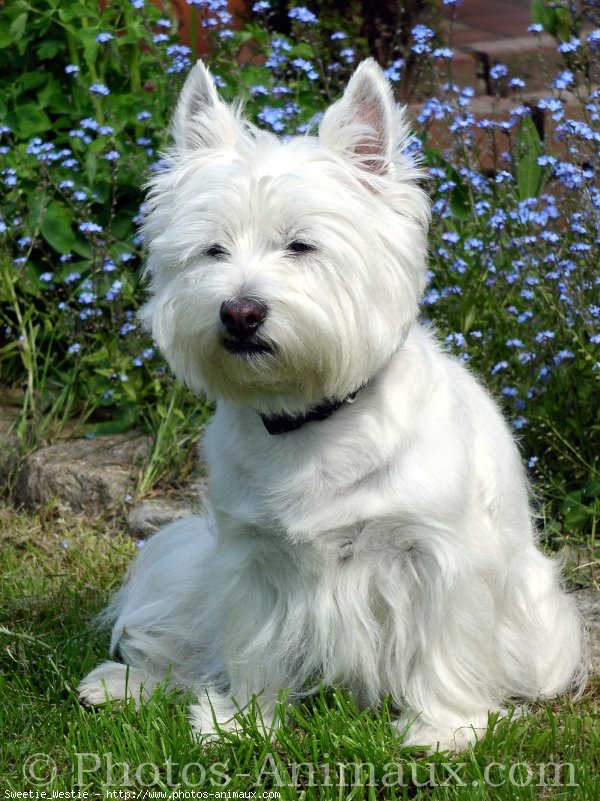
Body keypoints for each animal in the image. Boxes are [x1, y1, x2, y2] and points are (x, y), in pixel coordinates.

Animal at [77, 57, 584, 752]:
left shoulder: (437, 555)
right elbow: (253, 647)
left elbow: (444, 647)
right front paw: (243, 722)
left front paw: (444, 730)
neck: (311, 421)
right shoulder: (253, 556)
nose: (239, 312)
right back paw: (121, 685)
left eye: (301, 246)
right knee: (187, 648)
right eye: (213, 250)